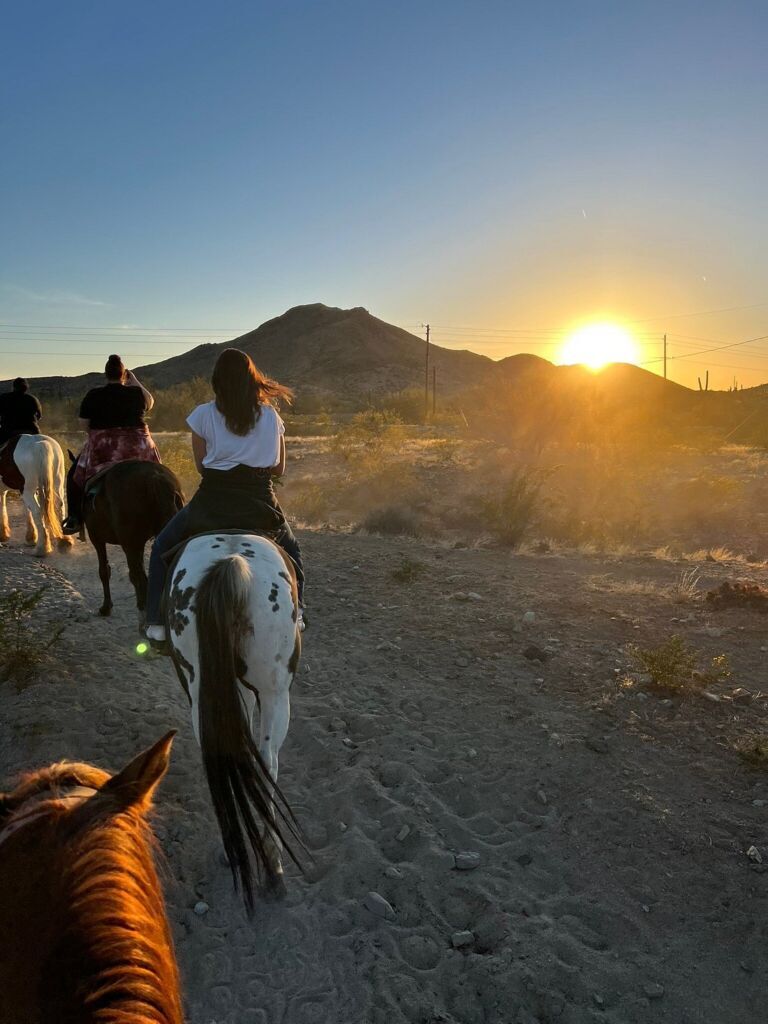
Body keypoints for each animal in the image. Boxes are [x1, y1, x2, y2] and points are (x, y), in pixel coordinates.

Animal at [68, 456, 185, 623]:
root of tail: (155, 478)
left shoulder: (97, 538)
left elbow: (104, 571)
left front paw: (106, 607)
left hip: (130, 544)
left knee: (140, 578)